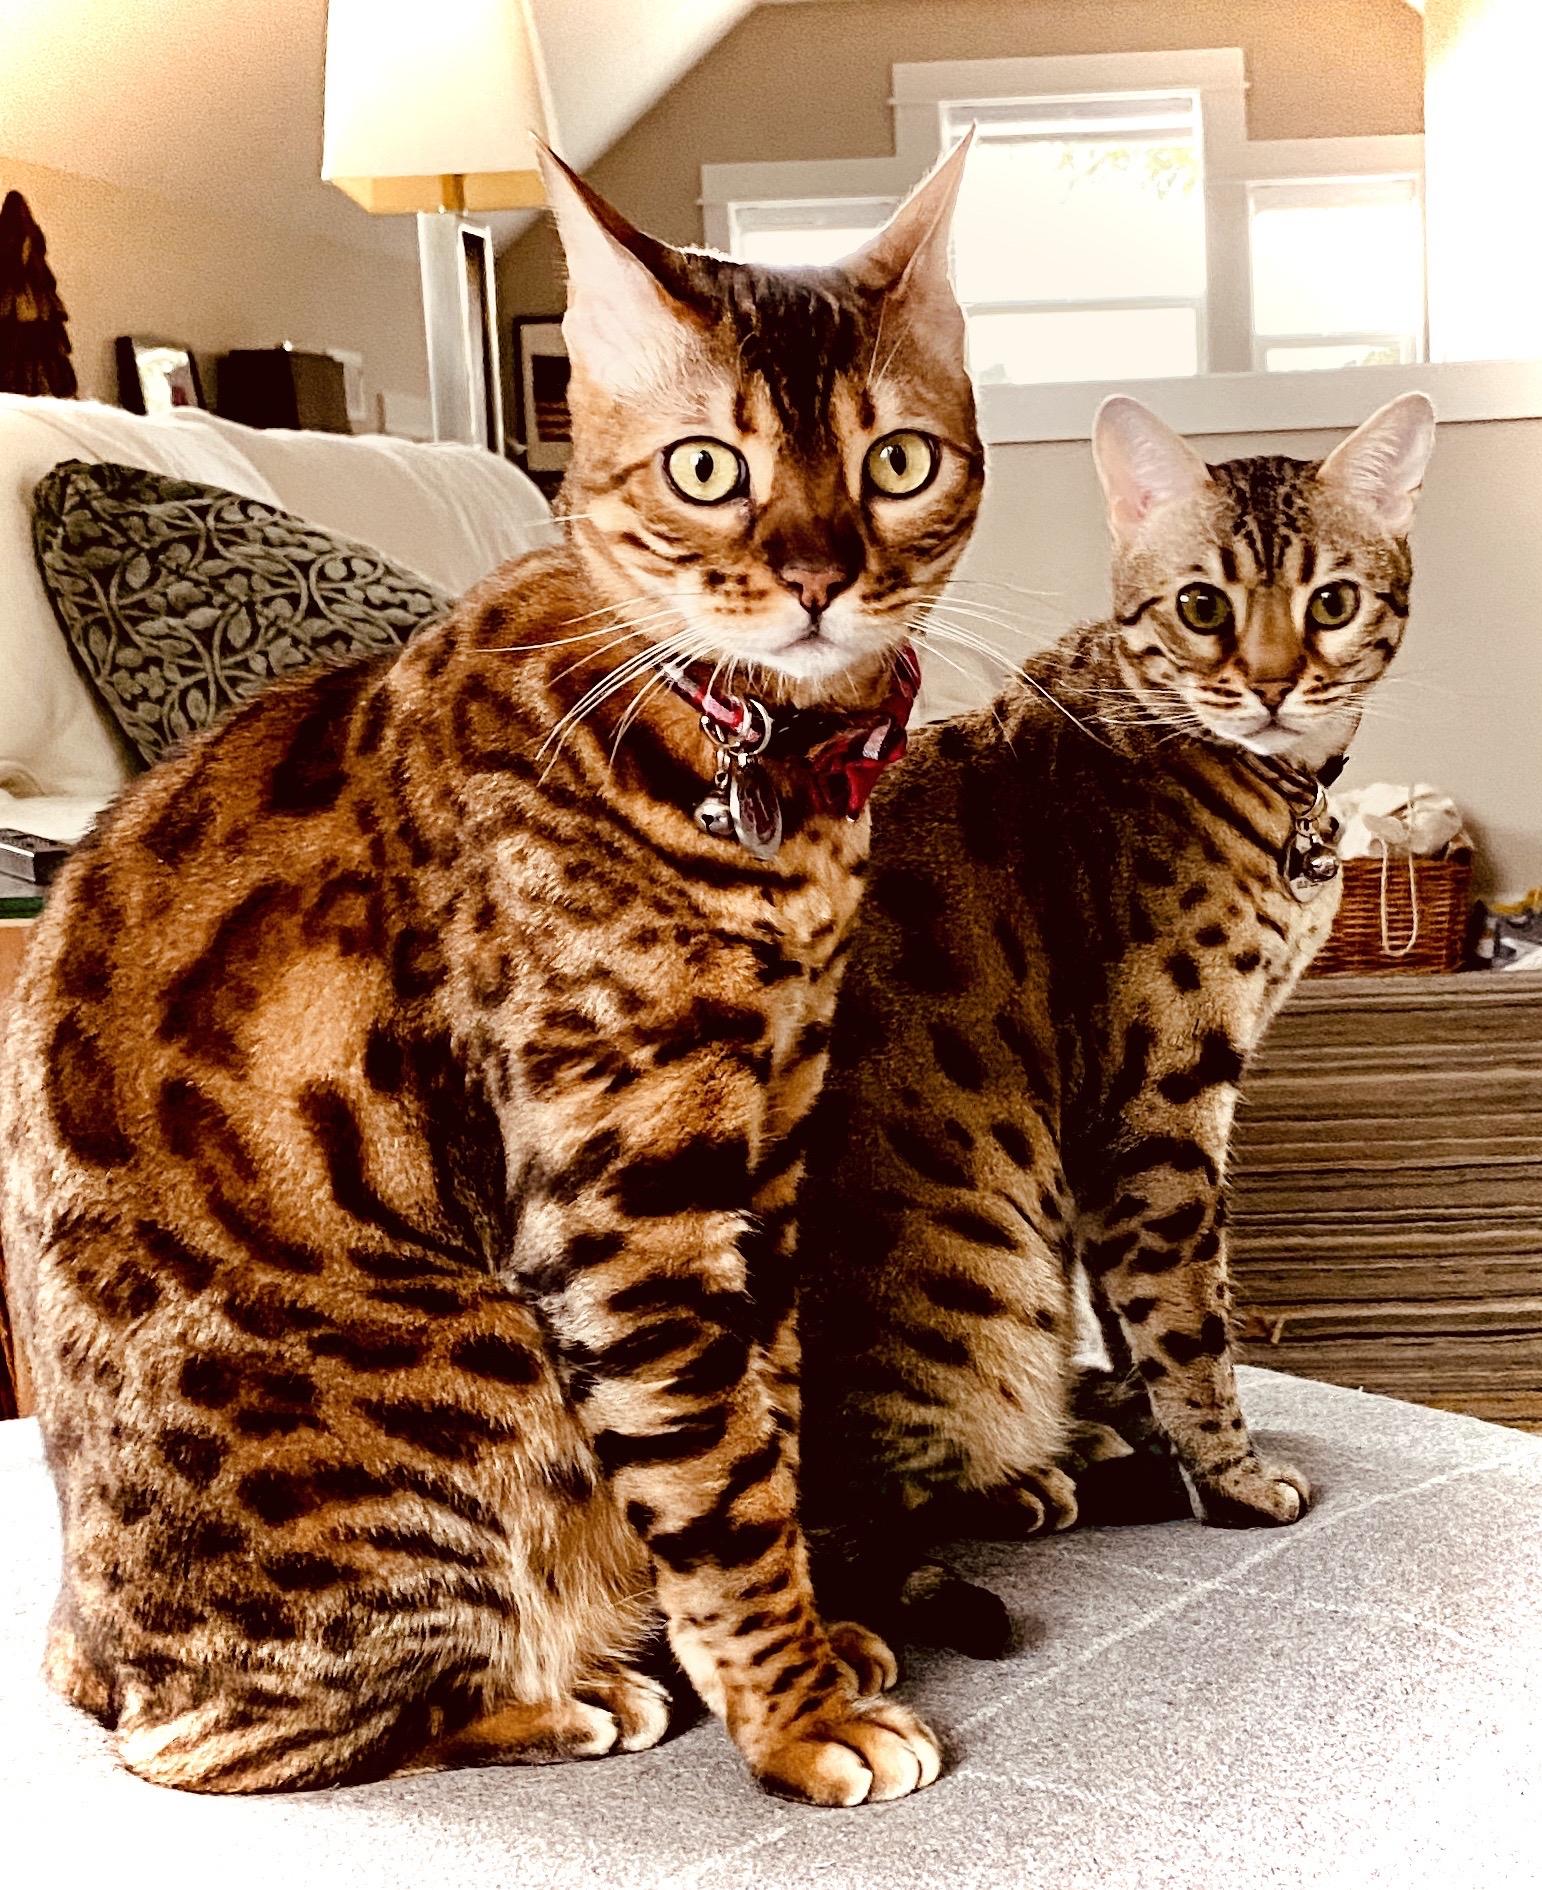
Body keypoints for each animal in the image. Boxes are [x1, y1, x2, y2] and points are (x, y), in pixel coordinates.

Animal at [0, 141, 983, 1802]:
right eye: (706, 470)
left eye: (898, 462)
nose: (815, 577)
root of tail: (78, 1627)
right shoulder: (624, 1203)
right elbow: (714, 1479)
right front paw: (792, 1713)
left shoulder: (769, 1157)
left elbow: (770, 1428)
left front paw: (811, 1634)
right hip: (474, 1362)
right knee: (218, 1739)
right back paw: (560, 1692)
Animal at [797, 393, 1436, 1640]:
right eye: (1203, 606)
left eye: (1332, 603)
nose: (1274, 684)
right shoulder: (1160, 1103)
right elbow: (1189, 1313)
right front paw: (1227, 1477)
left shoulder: (1129, 1145)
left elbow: (1138, 1303)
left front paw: (1153, 1425)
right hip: (987, 1279)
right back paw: (1035, 1478)